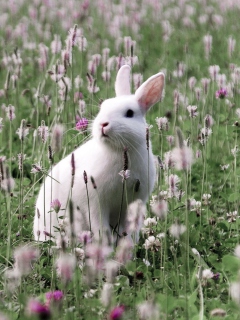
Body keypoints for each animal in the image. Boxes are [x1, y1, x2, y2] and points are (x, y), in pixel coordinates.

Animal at [33, 66, 164, 244]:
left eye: (130, 113)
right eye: (103, 107)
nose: (103, 124)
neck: (117, 151)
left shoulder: (135, 202)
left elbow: (129, 229)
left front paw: (128, 244)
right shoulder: (95, 204)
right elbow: (100, 226)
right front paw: (106, 245)